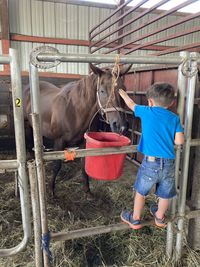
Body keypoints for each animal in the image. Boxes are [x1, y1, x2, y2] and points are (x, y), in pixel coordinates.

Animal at [23, 63, 131, 198]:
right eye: (102, 91)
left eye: (124, 90)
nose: (121, 126)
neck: (75, 110)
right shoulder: (59, 141)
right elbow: (56, 166)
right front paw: (52, 190)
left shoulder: (84, 143)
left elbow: (84, 165)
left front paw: (87, 190)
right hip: (27, 125)